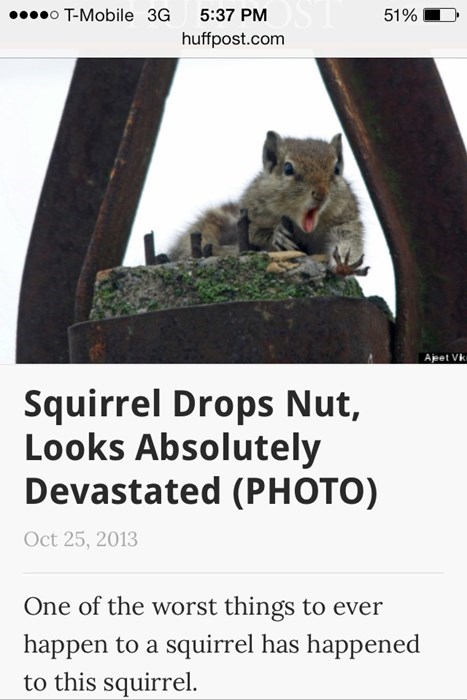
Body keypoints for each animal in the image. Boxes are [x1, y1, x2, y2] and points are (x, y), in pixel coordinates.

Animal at [169, 131, 368, 276]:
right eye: (288, 168)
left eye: (337, 169)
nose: (321, 194)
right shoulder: (251, 216)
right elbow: (255, 235)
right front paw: (277, 235)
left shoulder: (345, 220)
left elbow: (348, 240)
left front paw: (344, 265)